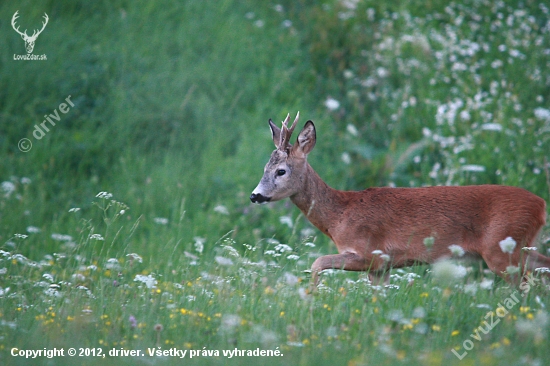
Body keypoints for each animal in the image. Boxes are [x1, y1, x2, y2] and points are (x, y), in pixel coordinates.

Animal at [251, 112, 550, 286]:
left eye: (281, 170)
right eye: (264, 168)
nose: (255, 195)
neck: (339, 216)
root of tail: (541, 205)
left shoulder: (371, 253)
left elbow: (316, 263)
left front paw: (311, 296)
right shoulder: (383, 267)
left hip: (502, 249)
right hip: (522, 246)